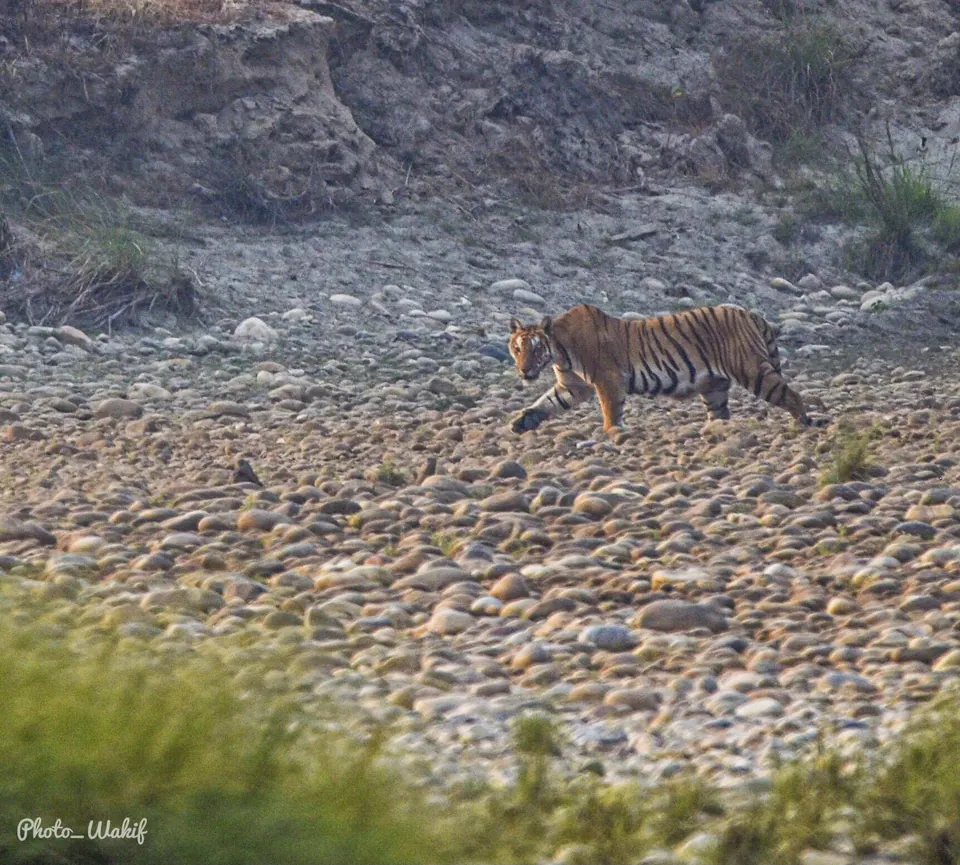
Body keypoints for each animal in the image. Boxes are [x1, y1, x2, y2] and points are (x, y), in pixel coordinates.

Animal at [507, 303, 829, 434]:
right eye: (518, 348)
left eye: (536, 348)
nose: (524, 371)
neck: (559, 352)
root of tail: (750, 314)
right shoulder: (572, 386)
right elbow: (547, 402)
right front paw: (522, 422)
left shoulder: (607, 380)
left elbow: (610, 411)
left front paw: (612, 433)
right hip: (714, 388)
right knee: (720, 414)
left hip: (753, 370)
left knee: (791, 396)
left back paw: (800, 423)